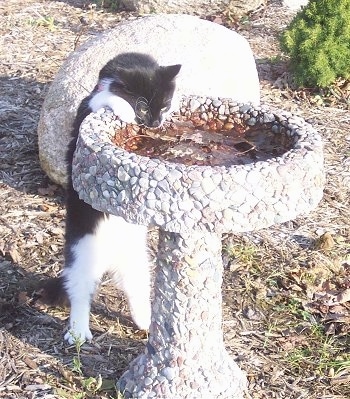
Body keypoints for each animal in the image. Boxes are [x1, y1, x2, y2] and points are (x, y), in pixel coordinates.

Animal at [47, 52, 180, 344]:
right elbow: (105, 99)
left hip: (137, 262)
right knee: (80, 292)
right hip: (82, 254)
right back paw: (78, 331)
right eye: (143, 108)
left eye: (164, 105)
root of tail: (111, 258)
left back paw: (145, 322)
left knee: (136, 289)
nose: (155, 123)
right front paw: (124, 107)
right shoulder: (86, 116)